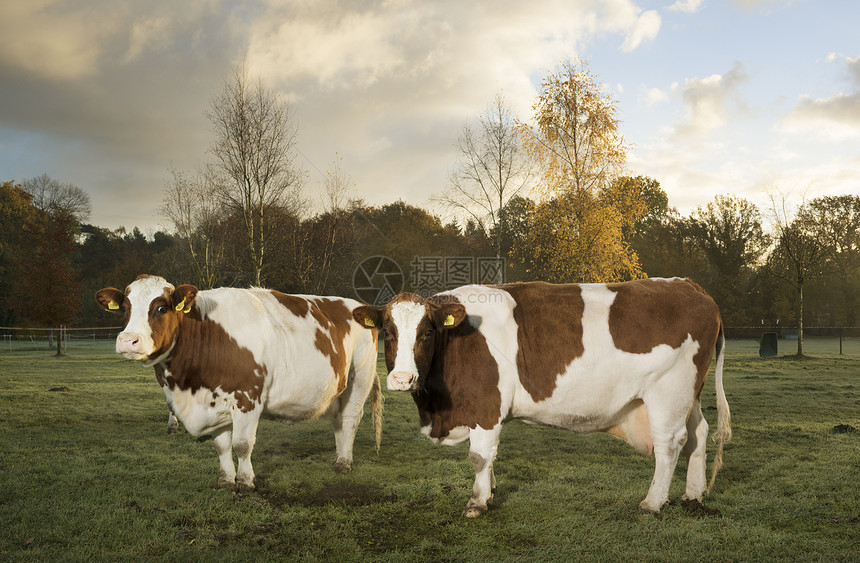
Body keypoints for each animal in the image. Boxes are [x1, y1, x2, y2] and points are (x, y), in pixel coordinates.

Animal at [95, 276, 386, 492]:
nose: (128, 340)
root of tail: (352, 303)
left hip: (360, 376)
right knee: (338, 420)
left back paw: (344, 462)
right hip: (337, 388)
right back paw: (339, 456)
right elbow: (221, 445)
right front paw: (225, 479)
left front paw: (245, 482)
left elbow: (242, 444)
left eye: (161, 308)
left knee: (349, 418)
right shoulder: (214, 402)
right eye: (125, 309)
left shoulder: (248, 397)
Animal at [352, 280, 728, 516]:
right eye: (387, 333)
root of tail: (689, 285)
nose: (403, 378)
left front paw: (477, 503)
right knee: (698, 434)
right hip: (689, 395)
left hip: (669, 390)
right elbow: (490, 458)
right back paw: (694, 495)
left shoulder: (486, 406)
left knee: (670, 443)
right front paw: (490, 493)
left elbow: (479, 456)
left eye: (427, 332)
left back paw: (653, 502)